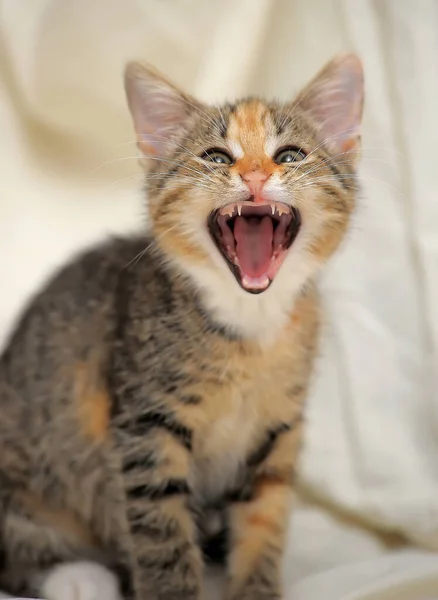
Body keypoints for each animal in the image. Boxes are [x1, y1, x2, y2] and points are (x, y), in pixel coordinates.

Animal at [0, 52, 362, 600]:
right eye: (216, 157)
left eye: (290, 155)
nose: (255, 177)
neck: (247, 327)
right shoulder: (144, 425)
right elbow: (162, 533)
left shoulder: (278, 429)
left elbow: (264, 519)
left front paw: (256, 588)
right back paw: (78, 575)